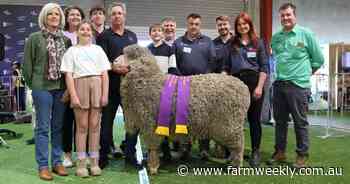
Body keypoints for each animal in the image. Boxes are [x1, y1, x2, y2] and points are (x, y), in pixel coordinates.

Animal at [120, 44, 252, 174]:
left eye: (130, 57)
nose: (116, 61)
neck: (147, 80)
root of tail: (243, 87)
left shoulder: (150, 125)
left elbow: (153, 148)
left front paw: (152, 167)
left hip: (230, 124)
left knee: (238, 145)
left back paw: (235, 165)